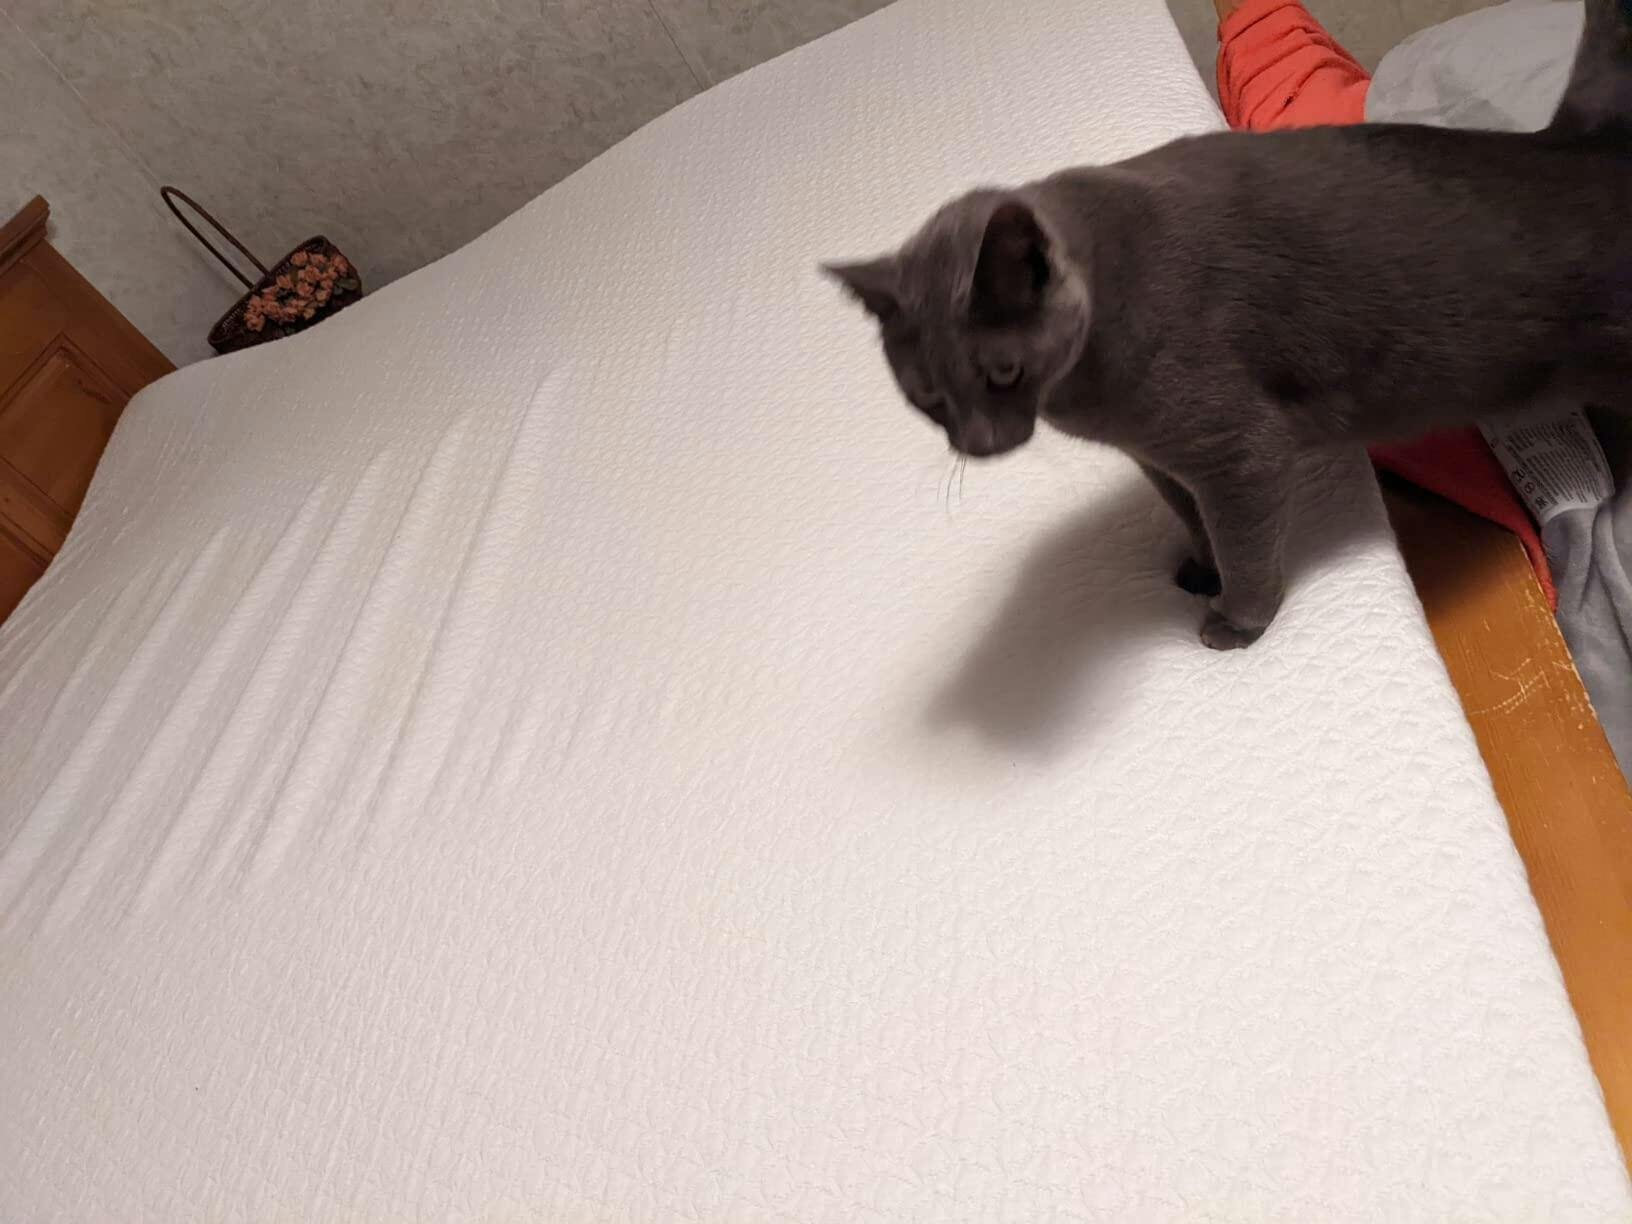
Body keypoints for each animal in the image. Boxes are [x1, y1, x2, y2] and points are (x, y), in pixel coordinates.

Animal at [827, 0, 1632, 650]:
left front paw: (1236, 623)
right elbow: (1190, 517)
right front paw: (1196, 571)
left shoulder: (1239, 454)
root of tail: (1581, 143)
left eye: (1002, 371)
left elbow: (1243, 542)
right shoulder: (1160, 460)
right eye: (925, 396)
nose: (978, 445)